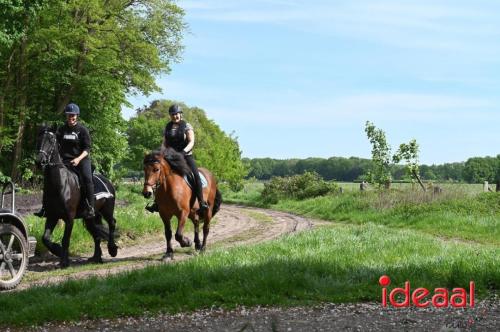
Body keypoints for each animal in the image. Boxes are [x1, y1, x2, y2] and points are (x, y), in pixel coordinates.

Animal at [35, 126, 118, 268]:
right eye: (39, 139)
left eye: (51, 140)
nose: (40, 161)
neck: (61, 184)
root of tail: (108, 182)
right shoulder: (52, 216)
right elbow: (45, 238)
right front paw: (57, 251)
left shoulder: (69, 218)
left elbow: (65, 240)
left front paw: (64, 262)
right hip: (91, 217)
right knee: (96, 234)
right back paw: (96, 257)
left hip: (107, 210)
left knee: (112, 223)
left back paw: (112, 249)